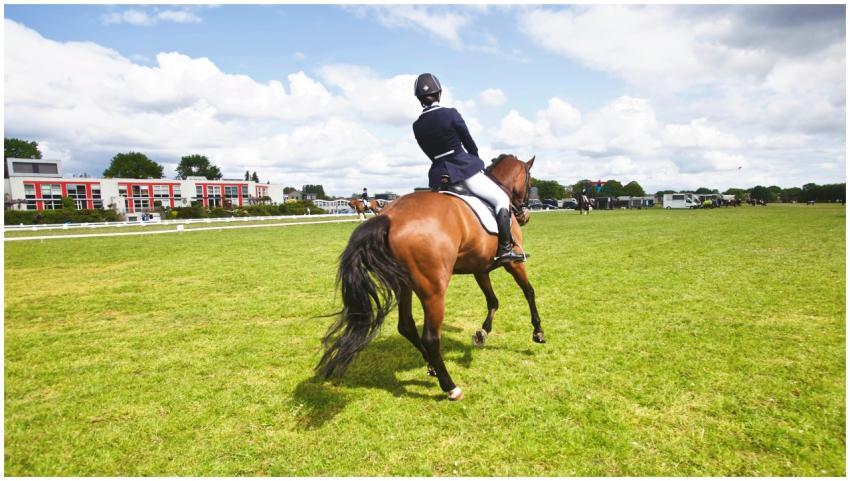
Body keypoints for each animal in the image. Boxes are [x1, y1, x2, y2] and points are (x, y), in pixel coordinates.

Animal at [317, 154, 543, 401]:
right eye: (530, 182)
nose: (525, 216)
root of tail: (390, 217)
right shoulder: (513, 263)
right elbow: (529, 291)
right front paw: (538, 332)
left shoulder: (480, 269)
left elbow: (493, 301)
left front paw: (482, 333)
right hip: (433, 291)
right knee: (430, 337)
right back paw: (450, 386)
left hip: (403, 285)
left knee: (406, 326)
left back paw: (433, 367)